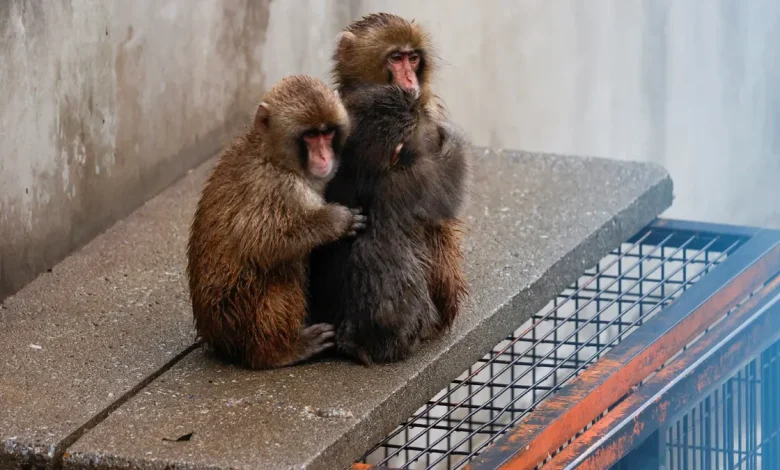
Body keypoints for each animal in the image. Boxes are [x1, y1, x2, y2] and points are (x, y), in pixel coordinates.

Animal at [186, 75, 366, 370]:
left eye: (327, 133)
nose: (324, 157)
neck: (274, 158)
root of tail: (216, 340)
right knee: (282, 270)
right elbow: (260, 243)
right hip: (238, 319)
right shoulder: (278, 188)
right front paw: (337, 221)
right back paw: (279, 352)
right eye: (310, 135)